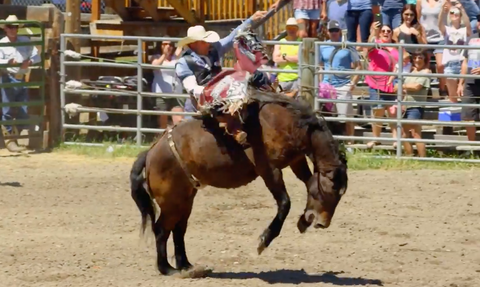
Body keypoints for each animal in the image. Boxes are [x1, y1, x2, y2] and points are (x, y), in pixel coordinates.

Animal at [130, 90, 348, 276]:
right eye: (331, 189)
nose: (322, 224)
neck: (289, 122)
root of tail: (150, 152)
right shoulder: (268, 169)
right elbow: (285, 202)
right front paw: (264, 241)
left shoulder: (296, 160)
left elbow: (308, 181)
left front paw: (303, 220)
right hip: (171, 202)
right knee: (161, 229)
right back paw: (167, 269)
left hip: (185, 198)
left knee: (178, 229)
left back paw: (187, 266)